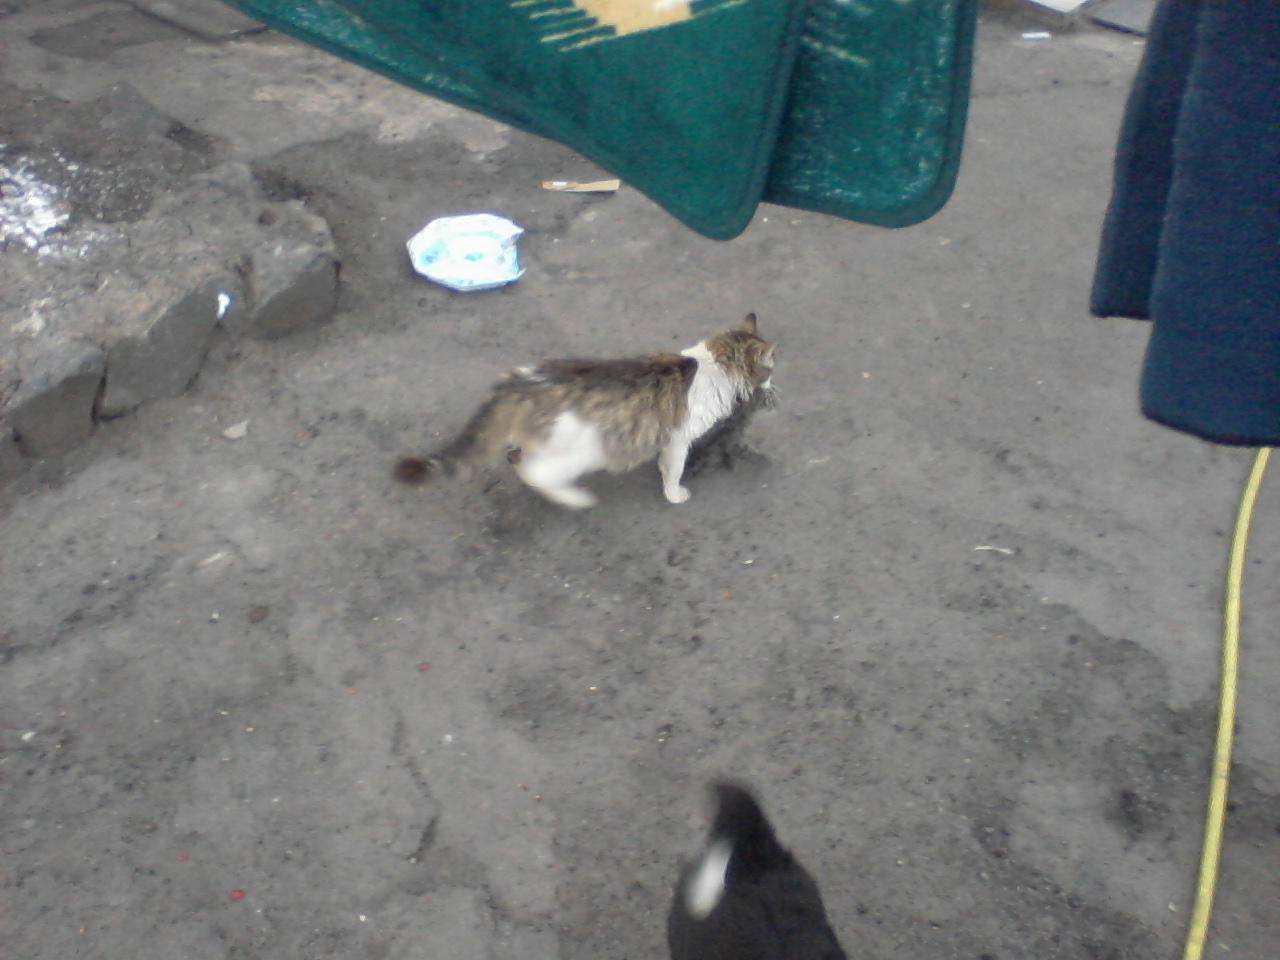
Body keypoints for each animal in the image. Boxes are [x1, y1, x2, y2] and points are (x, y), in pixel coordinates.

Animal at [394, 314, 775, 509]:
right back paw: (576, 498)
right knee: (534, 474)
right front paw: (675, 493)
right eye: (771, 368)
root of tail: (521, 382)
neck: (715, 365)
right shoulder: (678, 439)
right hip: (583, 450)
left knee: (517, 457)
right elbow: (673, 469)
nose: (772, 386)